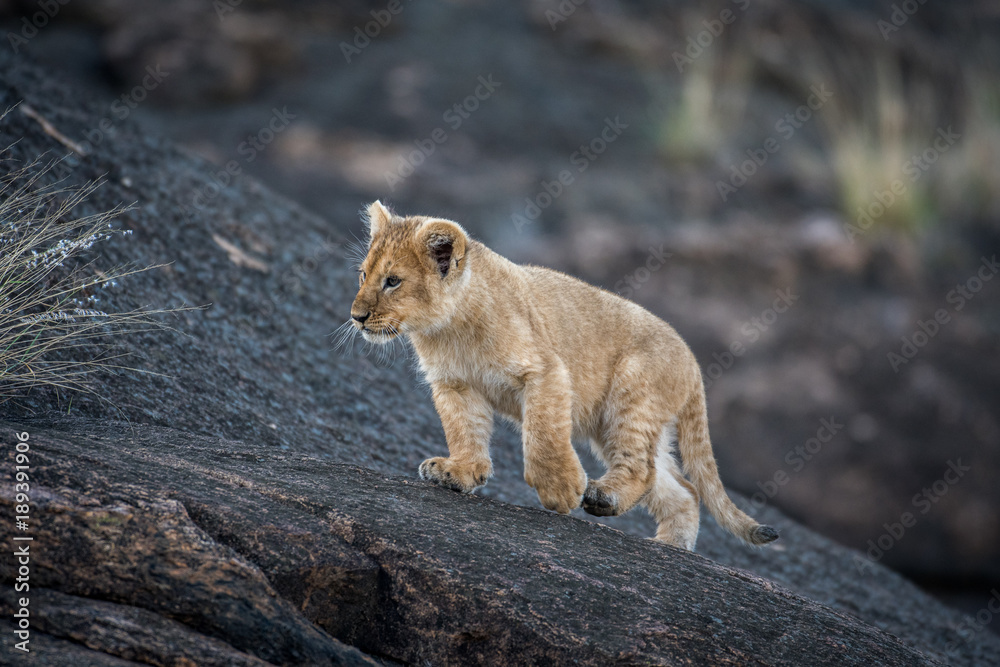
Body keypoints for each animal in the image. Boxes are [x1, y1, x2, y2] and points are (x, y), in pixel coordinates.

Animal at [347, 201, 778, 550]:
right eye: (363, 275)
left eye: (393, 281)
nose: (357, 316)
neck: (448, 329)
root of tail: (693, 363)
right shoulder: (455, 384)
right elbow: (464, 430)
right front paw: (460, 471)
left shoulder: (546, 370)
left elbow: (543, 435)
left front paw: (561, 489)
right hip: (621, 424)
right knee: (682, 488)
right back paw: (670, 548)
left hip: (631, 393)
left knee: (642, 469)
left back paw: (602, 496)